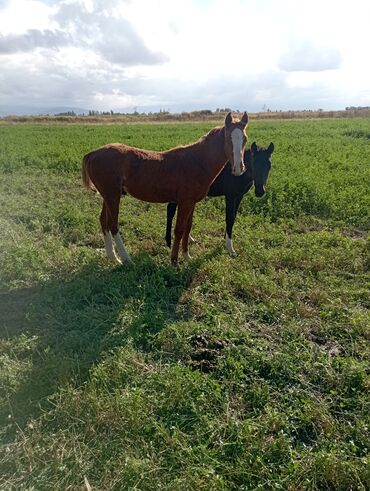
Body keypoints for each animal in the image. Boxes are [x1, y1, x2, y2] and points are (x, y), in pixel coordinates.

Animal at [81, 112, 249, 266]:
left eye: (245, 139)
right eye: (228, 138)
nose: (238, 169)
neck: (197, 162)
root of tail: (92, 154)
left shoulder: (192, 202)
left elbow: (188, 228)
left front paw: (187, 257)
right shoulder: (185, 201)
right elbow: (179, 229)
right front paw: (174, 261)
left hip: (108, 196)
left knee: (103, 221)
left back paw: (113, 257)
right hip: (113, 196)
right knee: (113, 225)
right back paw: (127, 259)